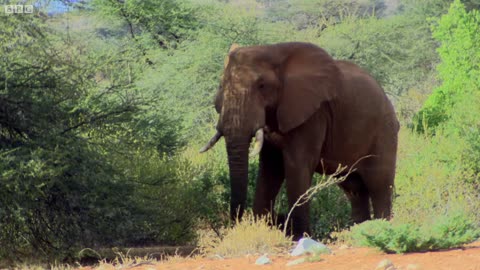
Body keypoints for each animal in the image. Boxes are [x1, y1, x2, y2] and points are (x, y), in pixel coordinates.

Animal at [200, 42, 402, 240]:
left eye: (262, 85)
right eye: (221, 85)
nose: (278, 219)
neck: (272, 51)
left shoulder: (313, 114)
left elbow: (296, 165)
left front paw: (300, 238)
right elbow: (270, 168)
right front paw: (262, 230)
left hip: (384, 132)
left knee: (379, 185)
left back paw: (381, 230)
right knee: (354, 189)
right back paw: (358, 233)